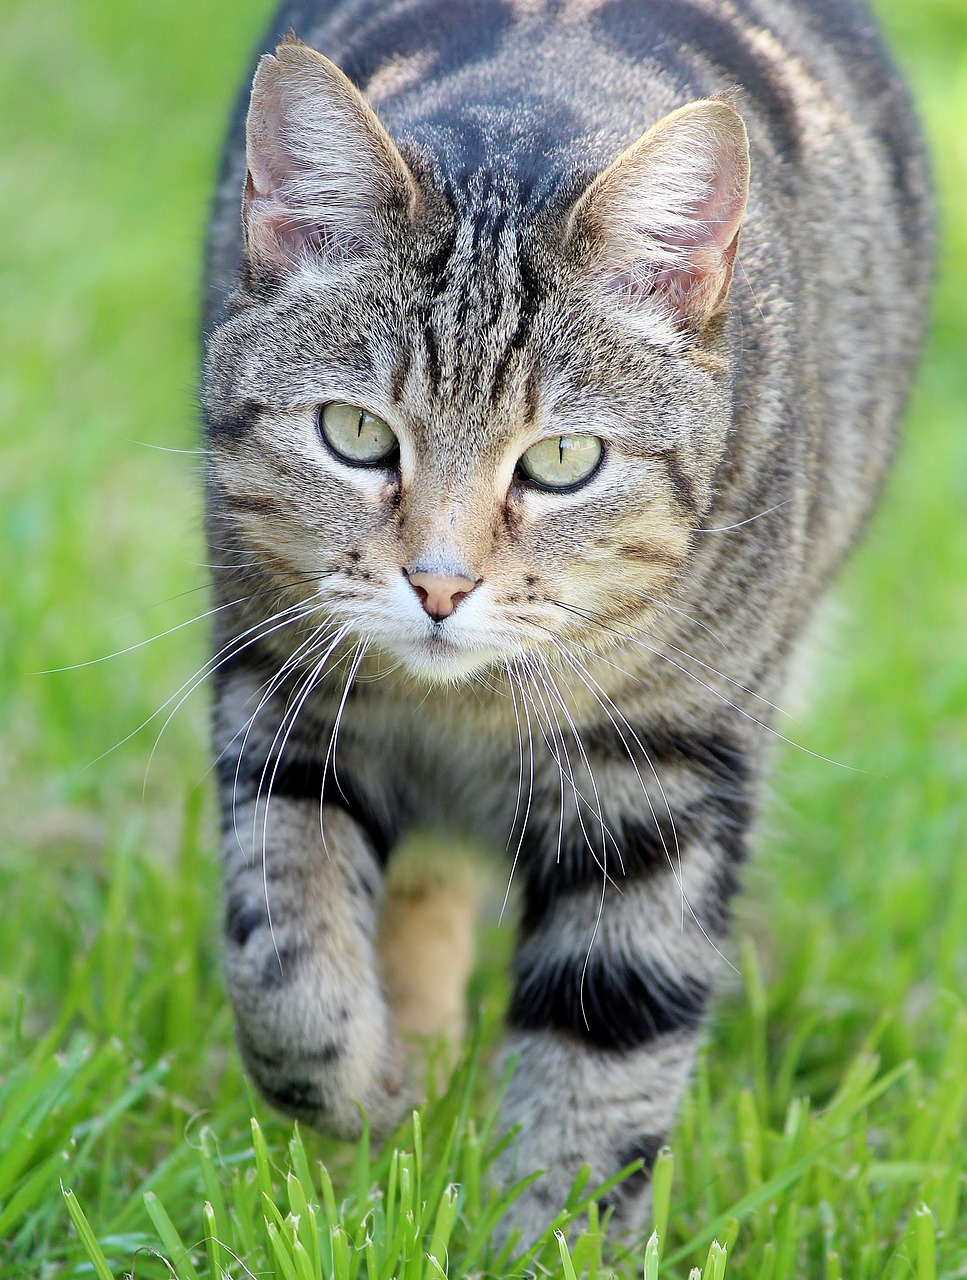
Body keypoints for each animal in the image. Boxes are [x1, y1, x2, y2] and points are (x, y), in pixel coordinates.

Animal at [201, 0, 932, 1244]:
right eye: (356, 433)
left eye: (561, 460)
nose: (438, 586)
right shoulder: (281, 683)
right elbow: (288, 964)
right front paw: (369, 1086)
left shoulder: (663, 775)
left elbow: (604, 1054)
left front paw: (546, 1240)